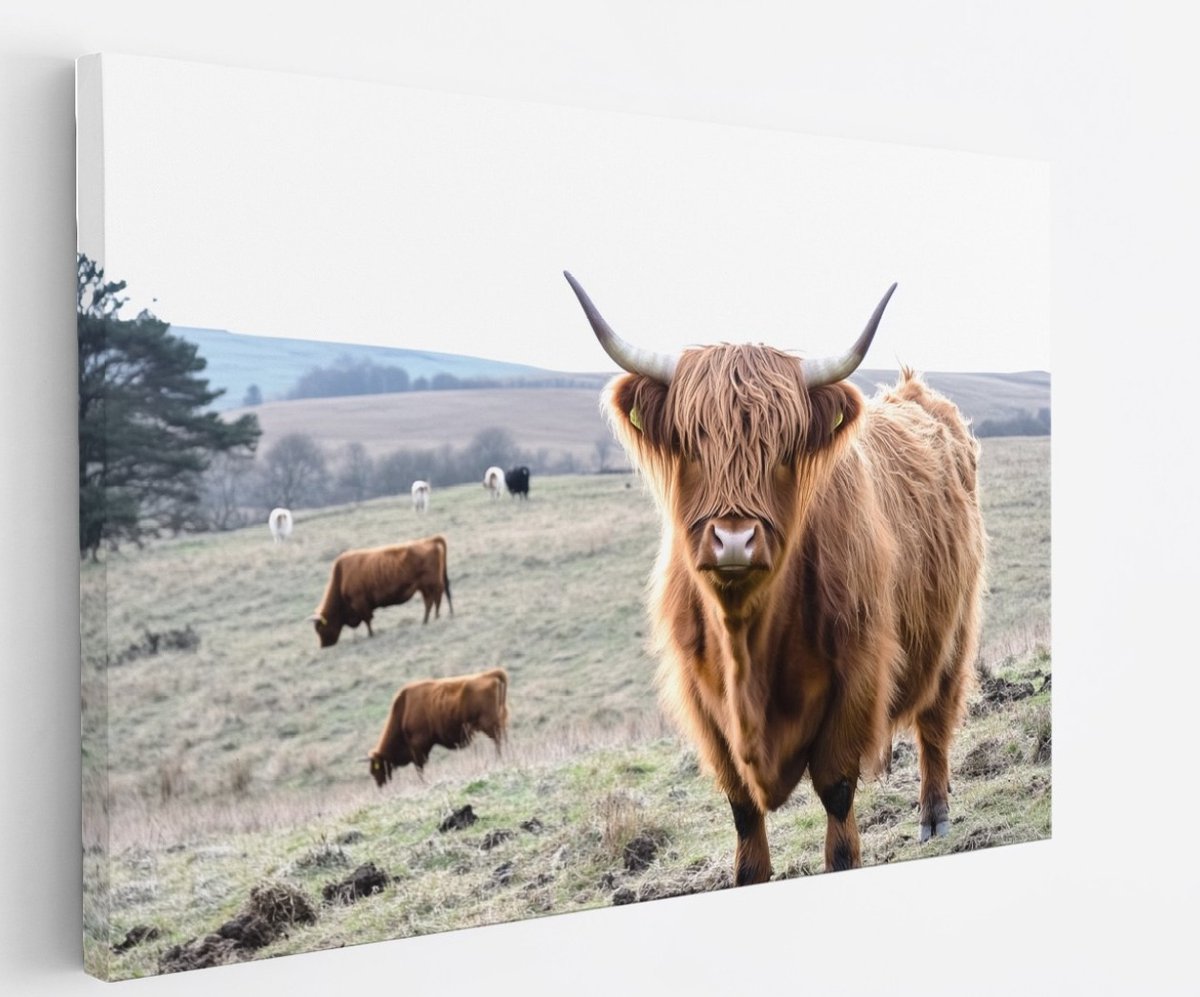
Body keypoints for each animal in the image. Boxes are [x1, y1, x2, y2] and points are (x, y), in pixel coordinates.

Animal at [309, 535, 453, 647]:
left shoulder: (360, 603)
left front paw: (371, 634)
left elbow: (367, 620)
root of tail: (429, 540)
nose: (324, 646)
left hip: (431, 584)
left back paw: (434, 617)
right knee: (431, 600)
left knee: (436, 597)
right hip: (424, 587)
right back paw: (427, 620)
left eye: (319, 628)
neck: (341, 576)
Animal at [367, 668, 509, 785]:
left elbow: (420, 768)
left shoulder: (418, 746)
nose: (379, 785)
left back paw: (499, 760)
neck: (404, 709)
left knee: (497, 742)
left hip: (490, 725)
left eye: (375, 768)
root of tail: (490, 674)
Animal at [565, 271, 985, 884]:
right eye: (694, 442)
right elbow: (743, 815)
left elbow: (836, 795)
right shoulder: (705, 706)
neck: (748, 636)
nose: (735, 539)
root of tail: (918, 394)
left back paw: (935, 816)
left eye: (782, 447)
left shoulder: (857, 678)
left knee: (936, 719)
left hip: (954, 630)